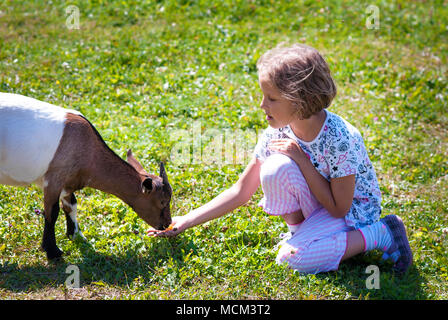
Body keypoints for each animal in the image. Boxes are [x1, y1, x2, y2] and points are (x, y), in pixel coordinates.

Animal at [0, 92, 173, 260]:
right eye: (162, 202)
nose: (167, 224)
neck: (87, 148)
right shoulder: (54, 178)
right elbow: (52, 213)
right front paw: (52, 251)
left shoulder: (67, 182)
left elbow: (71, 205)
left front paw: (76, 235)